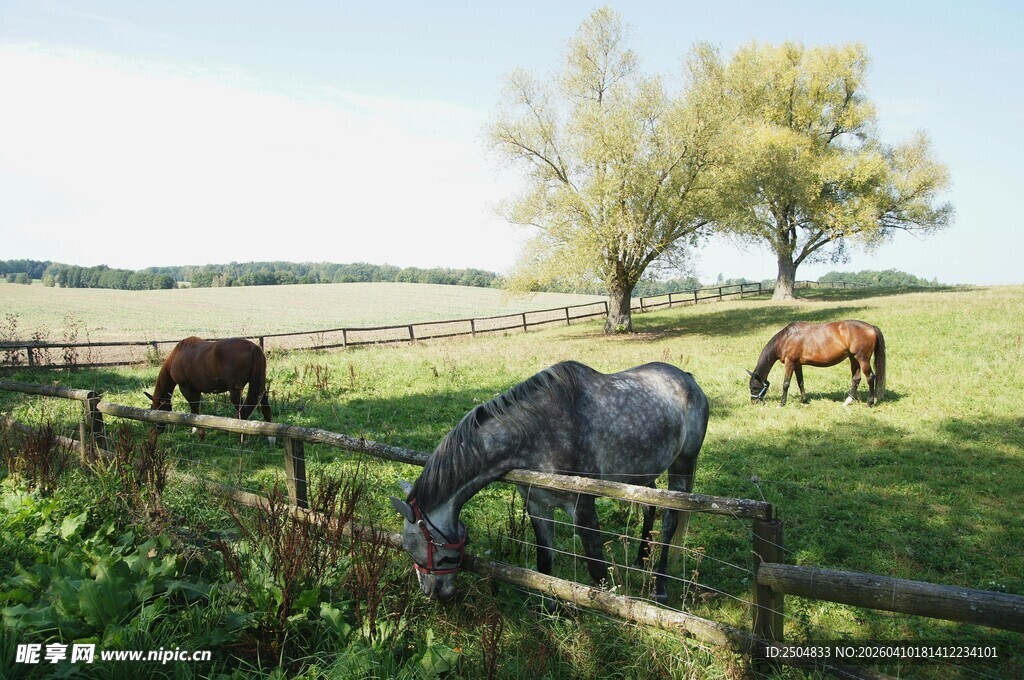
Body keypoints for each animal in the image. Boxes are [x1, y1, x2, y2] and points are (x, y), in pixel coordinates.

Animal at [144, 337, 274, 443]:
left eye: (156, 408)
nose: (157, 430)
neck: (176, 356)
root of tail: (254, 348)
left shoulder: (185, 388)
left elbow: (194, 409)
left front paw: (198, 433)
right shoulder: (196, 390)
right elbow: (196, 408)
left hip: (235, 391)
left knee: (242, 413)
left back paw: (241, 439)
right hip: (260, 387)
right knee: (265, 408)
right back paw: (271, 438)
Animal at [390, 360, 709, 604]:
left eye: (437, 554)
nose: (433, 594)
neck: (538, 432)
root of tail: (688, 380)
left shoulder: (582, 507)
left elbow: (597, 570)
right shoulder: (538, 506)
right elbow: (544, 565)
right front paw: (546, 608)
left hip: (682, 466)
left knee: (670, 522)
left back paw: (660, 587)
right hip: (641, 473)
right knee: (648, 506)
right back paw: (641, 558)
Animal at [747, 320, 886, 407]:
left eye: (754, 387)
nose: (754, 402)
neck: (787, 338)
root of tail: (870, 327)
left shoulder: (790, 362)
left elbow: (786, 383)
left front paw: (782, 403)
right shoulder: (797, 364)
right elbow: (800, 382)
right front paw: (804, 400)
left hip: (862, 359)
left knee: (870, 378)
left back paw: (869, 403)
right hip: (853, 358)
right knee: (856, 379)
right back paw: (847, 402)